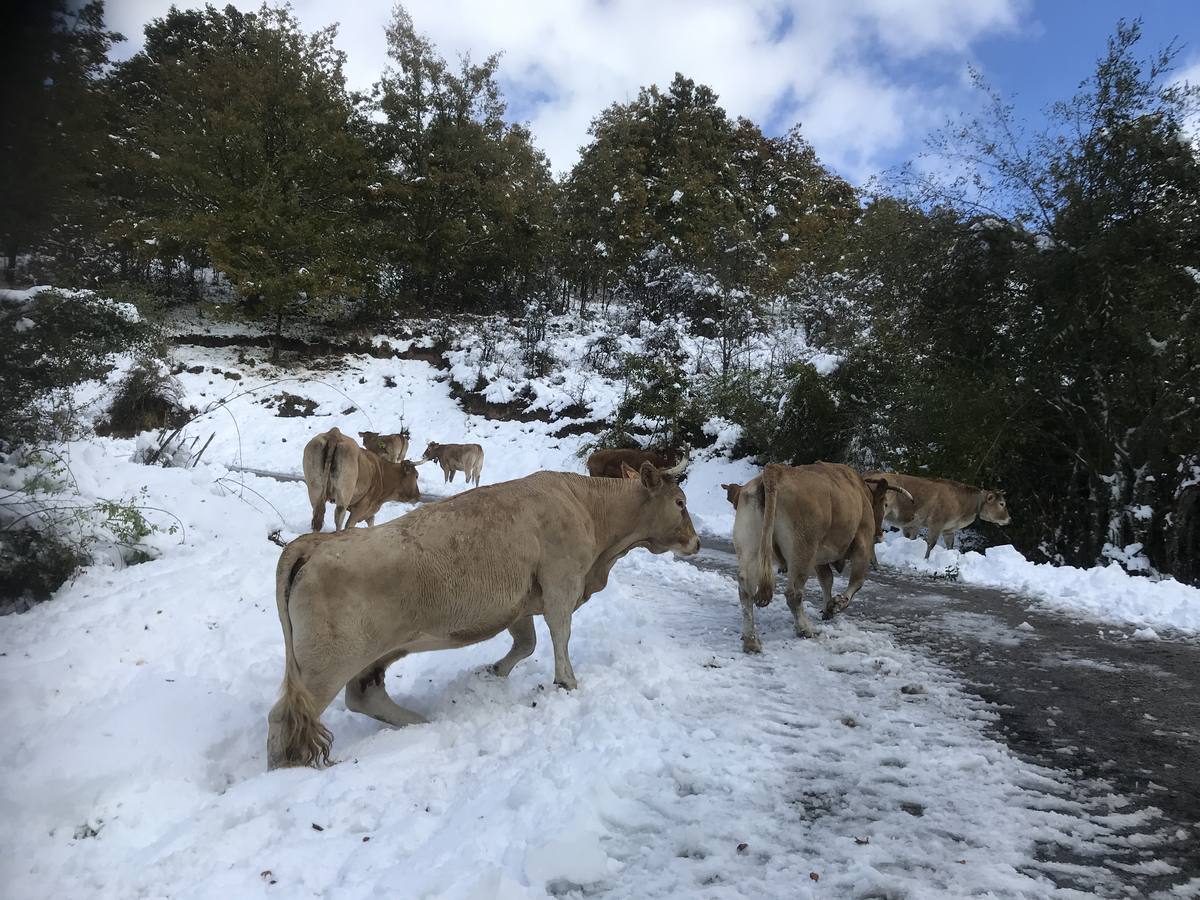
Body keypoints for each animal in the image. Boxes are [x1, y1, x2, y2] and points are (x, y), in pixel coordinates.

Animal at [267, 468, 700, 772]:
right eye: (679, 501)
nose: (695, 542)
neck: (588, 509)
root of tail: (312, 544)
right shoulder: (561, 584)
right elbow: (560, 635)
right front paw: (568, 683)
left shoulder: (520, 602)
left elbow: (526, 643)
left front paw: (493, 672)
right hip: (326, 662)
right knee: (286, 718)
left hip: (374, 652)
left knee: (362, 694)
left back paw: (421, 723)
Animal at [720, 465, 883, 657]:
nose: (880, 534)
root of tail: (776, 470)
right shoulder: (863, 545)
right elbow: (856, 582)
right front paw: (836, 604)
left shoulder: (819, 559)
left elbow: (826, 580)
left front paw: (828, 608)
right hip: (803, 549)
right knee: (793, 593)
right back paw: (805, 629)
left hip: (750, 545)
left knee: (746, 590)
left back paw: (751, 641)